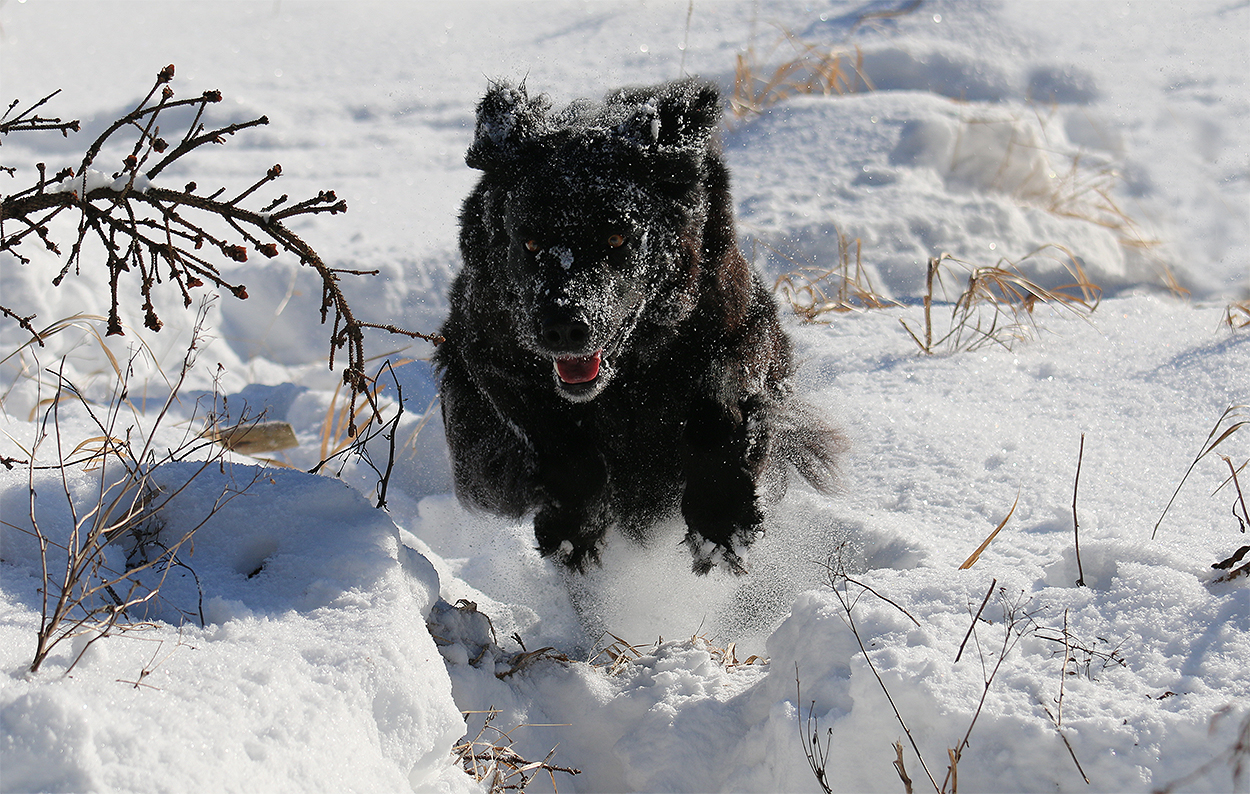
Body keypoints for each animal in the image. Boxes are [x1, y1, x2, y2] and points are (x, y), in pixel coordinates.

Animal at [434, 78, 845, 575]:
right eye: (528, 242)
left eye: (617, 238)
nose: (563, 328)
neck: (626, 376)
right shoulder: (488, 358)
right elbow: (560, 444)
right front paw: (573, 530)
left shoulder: (741, 330)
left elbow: (719, 401)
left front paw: (721, 521)